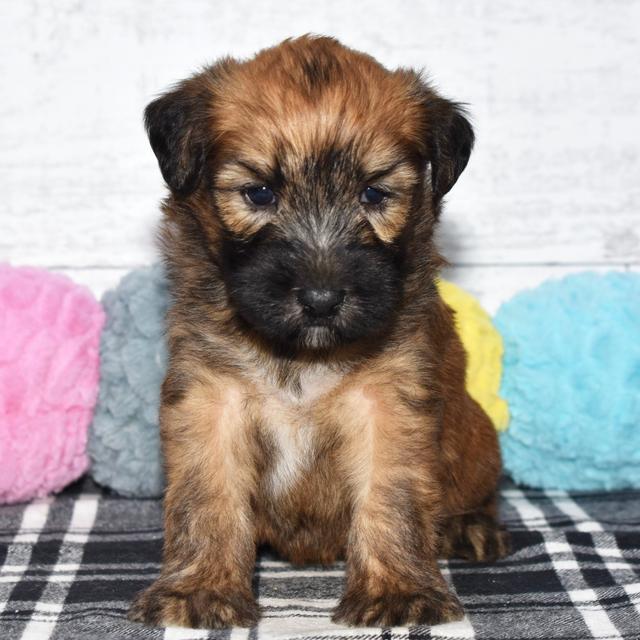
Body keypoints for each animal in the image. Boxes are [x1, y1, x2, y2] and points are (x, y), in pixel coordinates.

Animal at [130, 36, 510, 632]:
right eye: (259, 193)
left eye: (374, 194)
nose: (322, 300)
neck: (300, 357)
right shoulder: (212, 400)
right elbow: (206, 497)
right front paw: (200, 587)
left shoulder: (388, 404)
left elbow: (391, 496)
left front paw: (396, 590)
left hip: (477, 439)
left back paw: (471, 525)